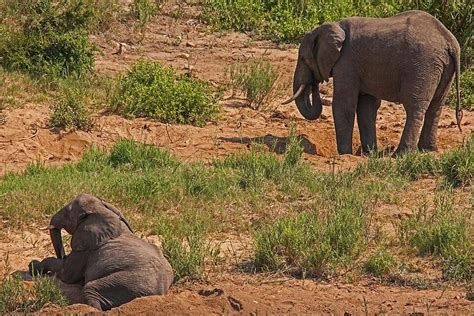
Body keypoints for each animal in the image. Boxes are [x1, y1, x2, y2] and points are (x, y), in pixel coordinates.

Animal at [28, 194, 172, 310]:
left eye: (67, 212)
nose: (63, 255)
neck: (101, 209)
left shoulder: (86, 249)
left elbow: (66, 274)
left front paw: (33, 267)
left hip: (126, 283)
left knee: (90, 289)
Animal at [284, 10, 462, 156]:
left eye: (303, 59)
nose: (314, 82)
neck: (334, 25)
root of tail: (449, 41)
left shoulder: (346, 63)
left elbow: (344, 105)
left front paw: (345, 154)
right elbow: (367, 107)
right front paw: (369, 154)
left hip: (422, 66)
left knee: (415, 107)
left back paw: (401, 155)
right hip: (443, 67)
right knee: (436, 107)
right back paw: (427, 150)